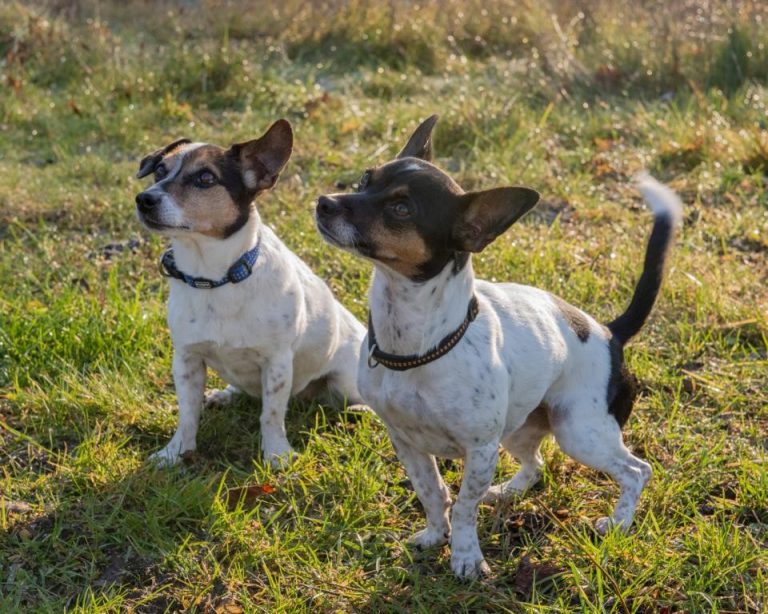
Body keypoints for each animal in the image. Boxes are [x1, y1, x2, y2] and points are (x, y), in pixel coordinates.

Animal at [134, 119, 366, 466]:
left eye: (205, 178)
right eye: (160, 171)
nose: (144, 199)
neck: (215, 279)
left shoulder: (277, 363)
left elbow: (270, 415)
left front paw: (276, 455)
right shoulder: (187, 359)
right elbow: (187, 413)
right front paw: (175, 452)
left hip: (346, 380)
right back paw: (225, 395)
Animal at [316, 116, 680, 584]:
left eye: (401, 209)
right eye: (366, 179)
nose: (325, 202)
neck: (416, 344)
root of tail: (609, 332)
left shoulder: (480, 449)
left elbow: (463, 506)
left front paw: (465, 555)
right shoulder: (407, 442)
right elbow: (432, 492)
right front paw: (435, 535)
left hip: (581, 433)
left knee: (637, 471)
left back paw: (617, 522)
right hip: (521, 428)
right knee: (537, 465)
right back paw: (507, 491)